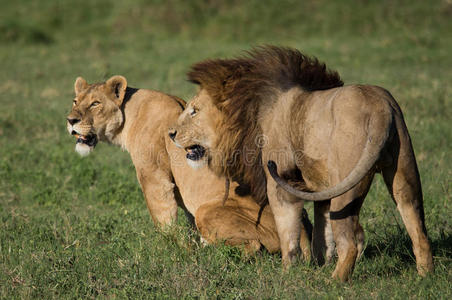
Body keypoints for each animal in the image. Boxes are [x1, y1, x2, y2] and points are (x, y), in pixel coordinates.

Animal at [66, 74, 314, 255]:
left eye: (95, 104)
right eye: (75, 102)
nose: (71, 120)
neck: (129, 114)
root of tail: (303, 236)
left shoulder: (154, 177)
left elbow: (164, 220)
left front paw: (173, 250)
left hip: (208, 210)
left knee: (253, 247)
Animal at [170, 46, 434, 282]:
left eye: (194, 111)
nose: (171, 133)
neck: (251, 112)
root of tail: (380, 109)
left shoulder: (280, 183)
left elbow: (289, 233)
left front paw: (288, 273)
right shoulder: (322, 189)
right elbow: (321, 234)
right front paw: (318, 265)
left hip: (346, 186)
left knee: (350, 241)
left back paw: (334, 282)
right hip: (404, 173)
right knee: (418, 230)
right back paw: (424, 276)